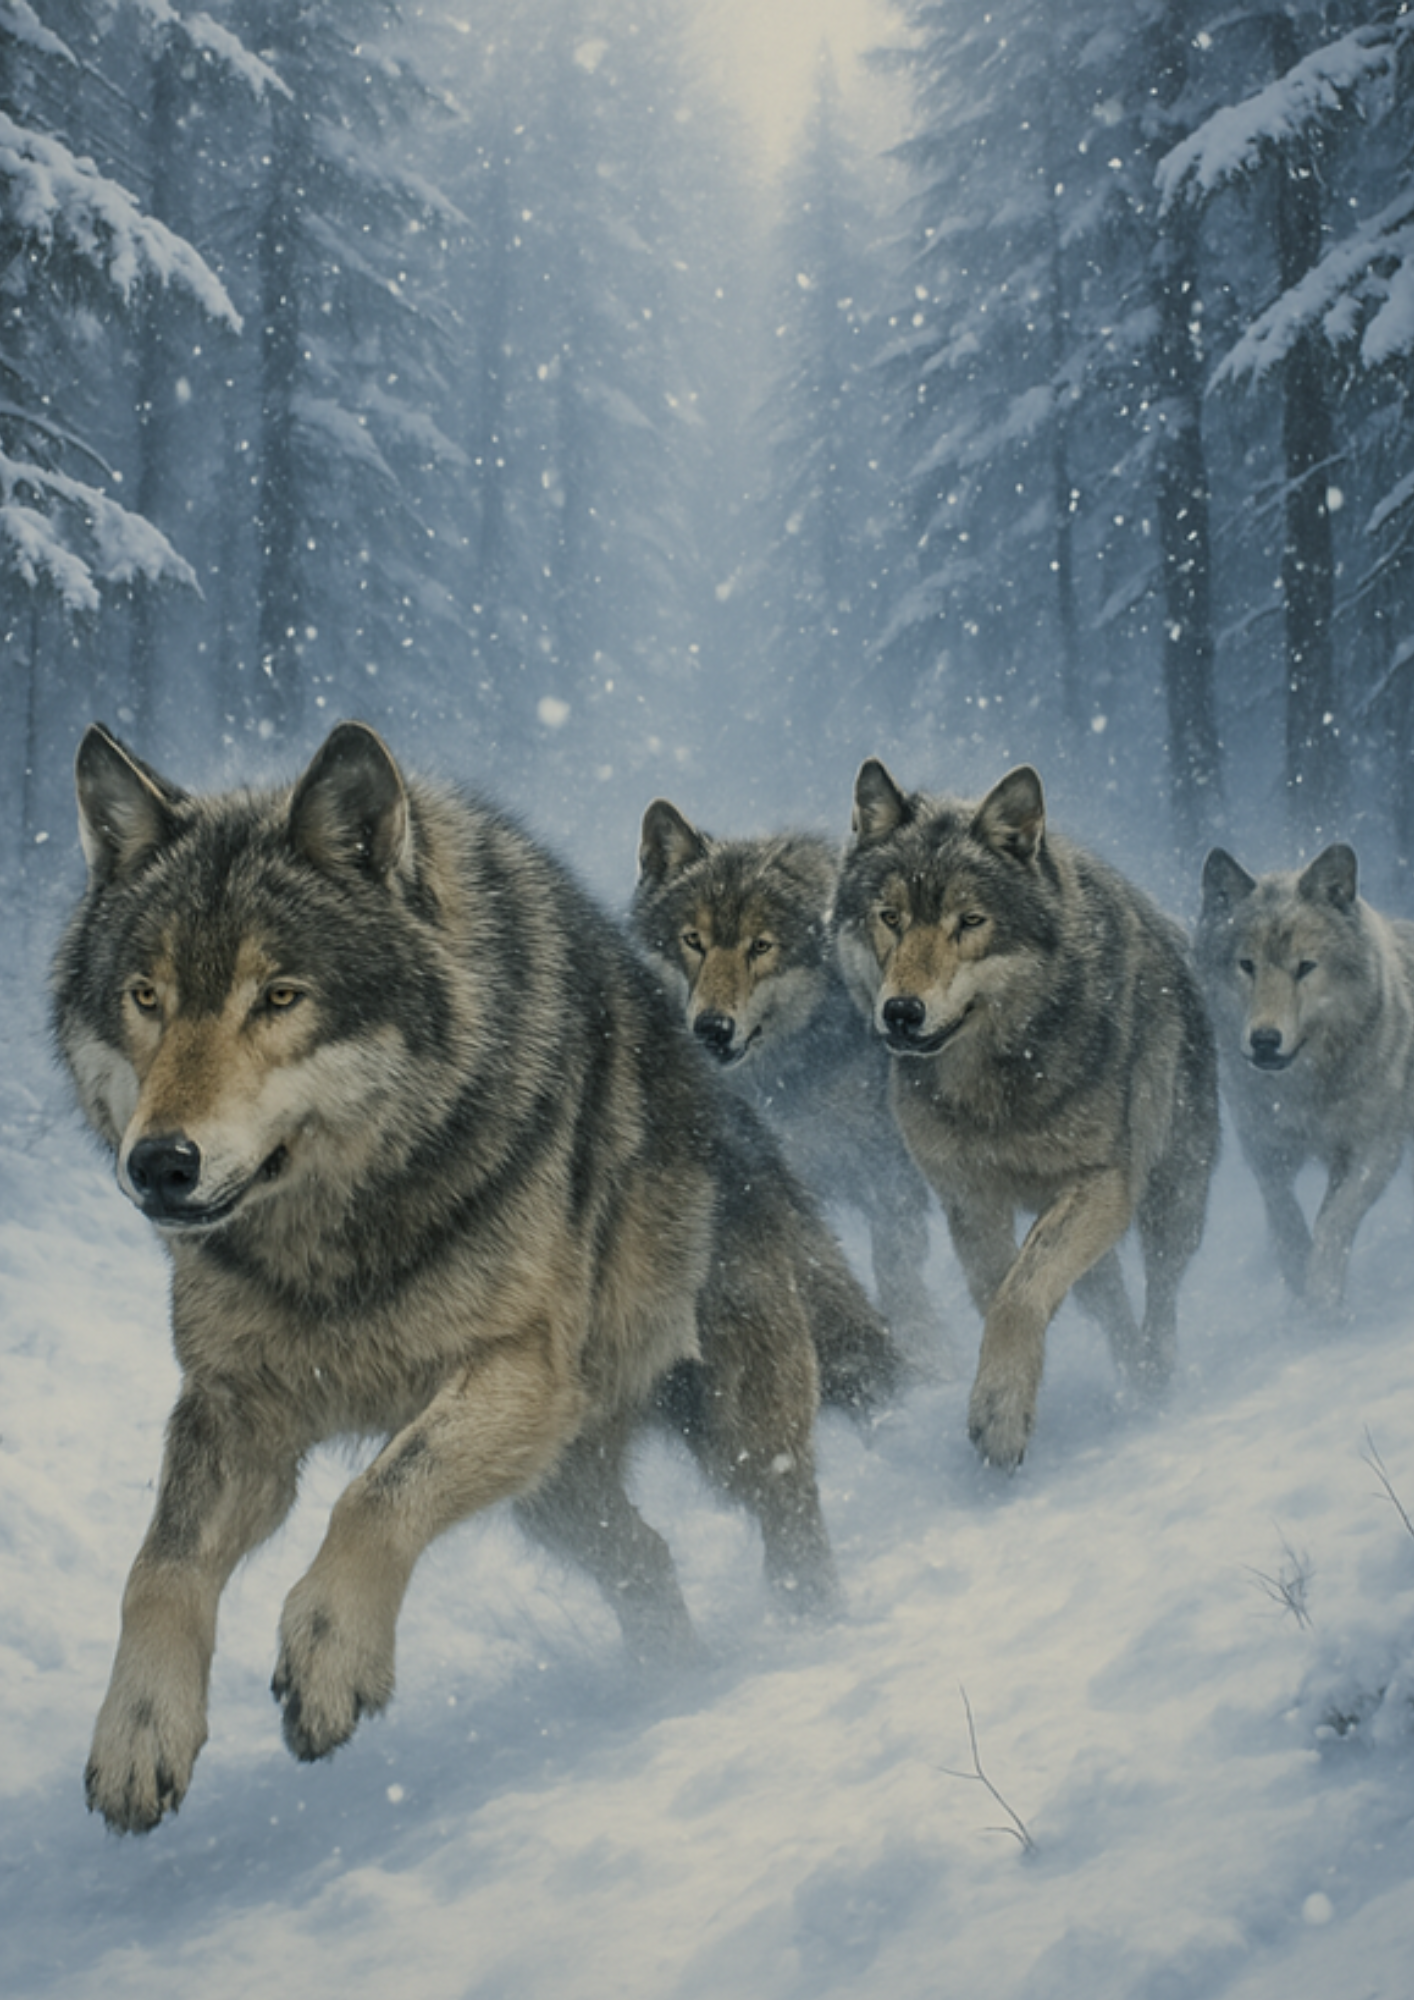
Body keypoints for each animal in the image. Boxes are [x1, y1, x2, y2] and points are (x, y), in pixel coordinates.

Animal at [52, 720, 896, 1834]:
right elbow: (158, 1567)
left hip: (730, 1423)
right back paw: (670, 1687)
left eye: (279, 997)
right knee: (648, 1557)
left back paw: (804, 1644)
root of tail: (747, 1120)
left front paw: (328, 1654)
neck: (340, 1244)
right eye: (145, 997)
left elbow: (373, 1494)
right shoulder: (232, 1406)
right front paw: (136, 1732)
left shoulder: (519, 1371)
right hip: (556, 1493)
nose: (159, 1163)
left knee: (789, 1522)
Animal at [833, 758, 1219, 1470]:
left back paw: (1152, 1381)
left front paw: (1000, 1415)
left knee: (1160, 1289)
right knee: (1105, 1299)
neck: (993, 1089)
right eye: (890, 917)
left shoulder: (1102, 1182)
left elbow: (1018, 1295)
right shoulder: (968, 1200)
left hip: (1173, 1195)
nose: (901, 1012)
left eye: (970, 921)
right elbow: (1000, 1290)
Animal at [1196, 844, 1414, 1310]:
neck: (1304, 1093)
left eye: (1305, 967)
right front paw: (1297, 1276)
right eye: (1247, 965)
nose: (1264, 1040)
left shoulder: (1373, 1151)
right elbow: (1285, 1216)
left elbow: (1333, 1220)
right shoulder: (1264, 1148)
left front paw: (1322, 1298)